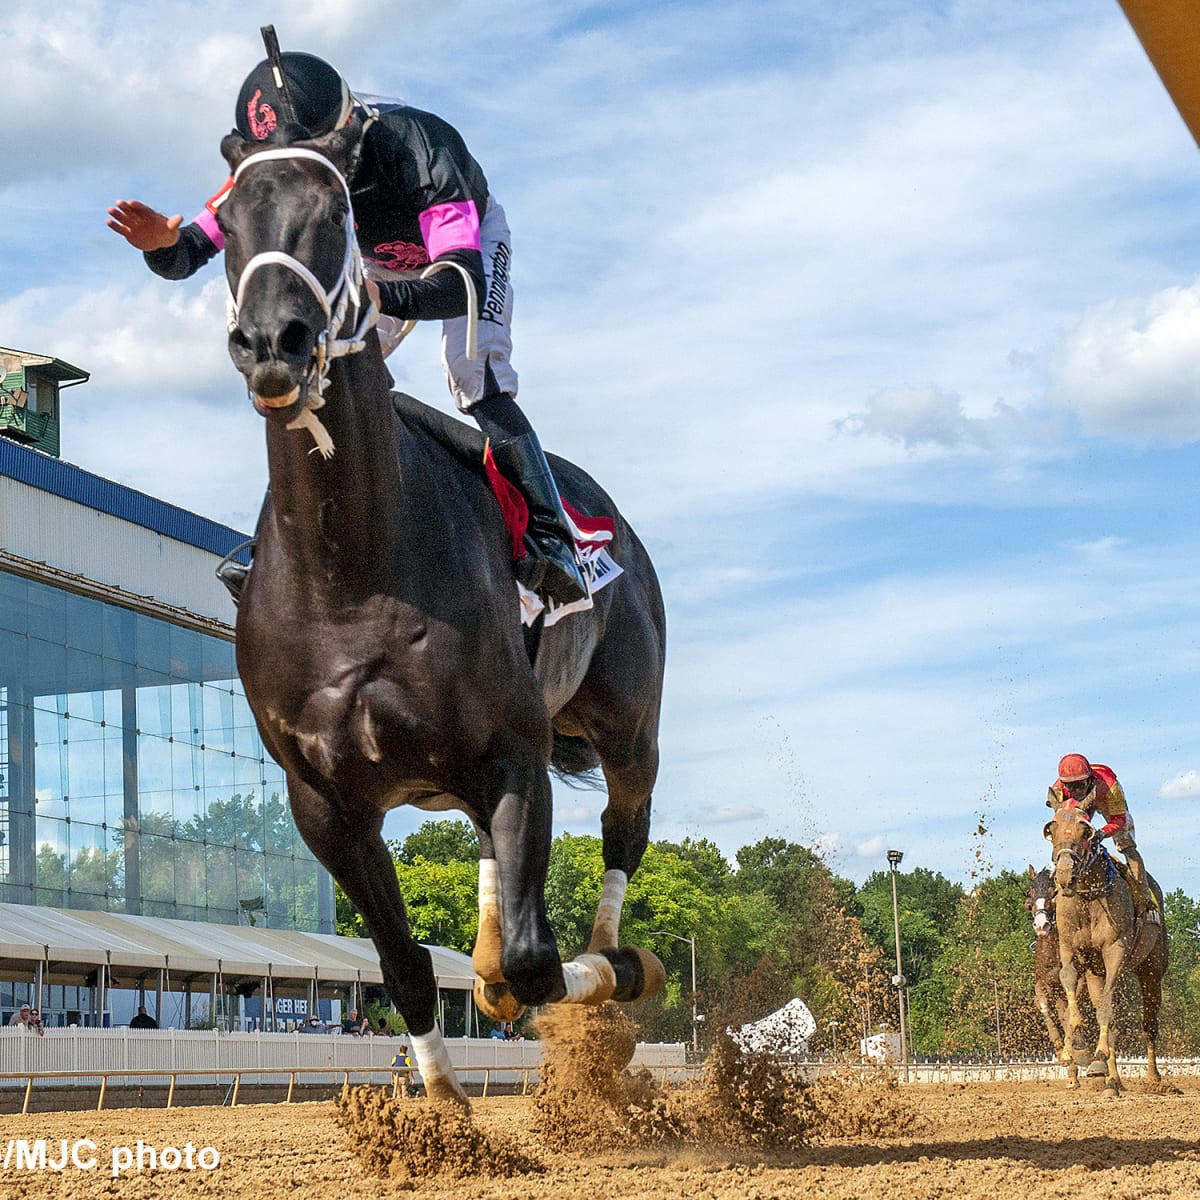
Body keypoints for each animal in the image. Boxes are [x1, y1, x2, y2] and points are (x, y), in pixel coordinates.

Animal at [214, 124, 667, 1104]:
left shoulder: (513, 750)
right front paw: (445, 1109)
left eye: (334, 213)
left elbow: (539, 963)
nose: (274, 339)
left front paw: (600, 981)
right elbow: (406, 966)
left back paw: (617, 954)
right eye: (224, 223)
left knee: (625, 828)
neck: (348, 576)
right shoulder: (326, 805)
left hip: (627, 726)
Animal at [1046, 806, 1166, 1099]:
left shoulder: (1115, 950)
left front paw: (1096, 1057)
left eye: (1085, 831)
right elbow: (1070, 984)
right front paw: (1073, 1050)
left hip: (1152, 969)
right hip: (1096, 974)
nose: (1064, 876)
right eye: (1051, 829)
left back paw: (1153, 1078)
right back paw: (1112, 1080)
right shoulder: (1071, 949)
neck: (1089, 897)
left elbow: (1106, 1009)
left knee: (1149, 1022)